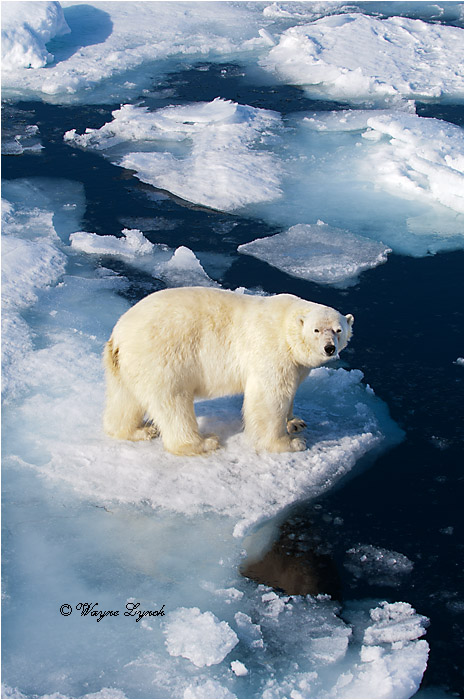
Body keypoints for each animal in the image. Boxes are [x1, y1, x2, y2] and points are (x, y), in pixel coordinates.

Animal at [103, 287, 354, 456]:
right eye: (316, 330)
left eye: (339, 330)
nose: (329, 348)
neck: (286, 327)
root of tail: (119, 335)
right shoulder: (270, 349)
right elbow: (270, 398)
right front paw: (290, 443)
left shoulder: (297, 365)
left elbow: (291, 390)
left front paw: (295, 422)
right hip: (162, 357)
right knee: (173, 403)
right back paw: (203, 442)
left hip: (125, 365)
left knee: (125, 399)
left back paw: (137, 431)